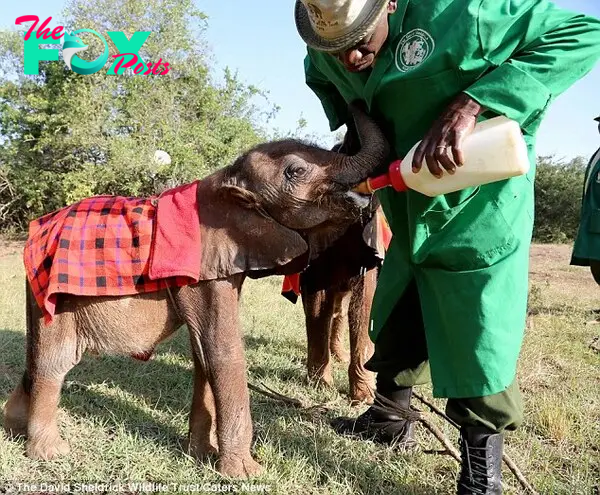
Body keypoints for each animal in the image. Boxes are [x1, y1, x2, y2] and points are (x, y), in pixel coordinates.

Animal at [3, 101, 390, 480]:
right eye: (295, 172)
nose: (354, 103)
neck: (226, 179)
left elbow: (203, 352)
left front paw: (202, 455)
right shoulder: (202, 272)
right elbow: (221, 346)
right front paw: (247, 474)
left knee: (35, 358)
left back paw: (14, 429)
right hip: (59, 296)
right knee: (55, 360)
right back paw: (50, 453)